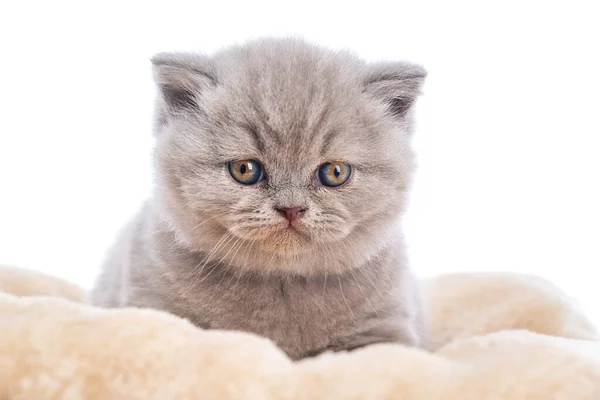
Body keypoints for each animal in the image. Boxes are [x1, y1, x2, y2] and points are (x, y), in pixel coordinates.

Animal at [88, 37, 426, 360]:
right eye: (245, 169)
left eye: (335, 172)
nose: (291, 208)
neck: (281, 284)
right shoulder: (151, 307)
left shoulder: (387, 328)